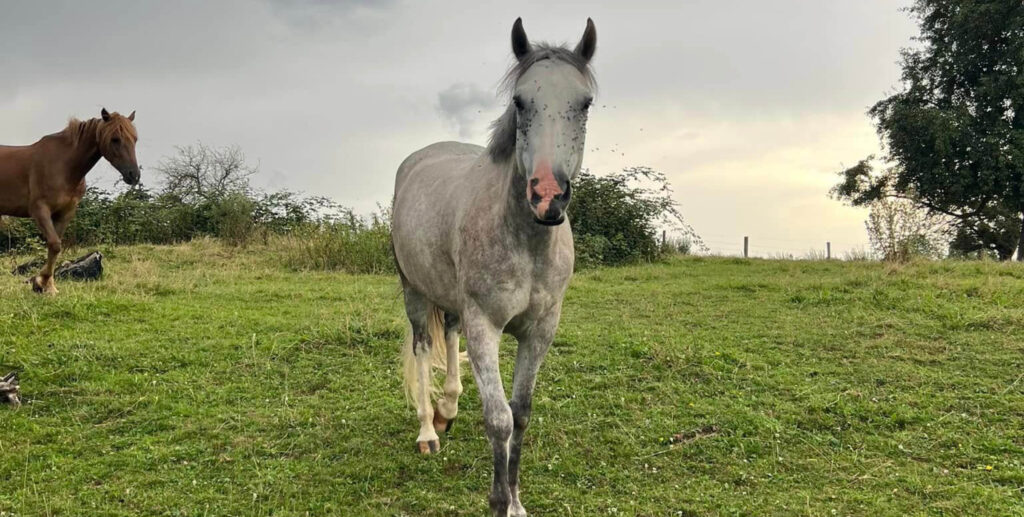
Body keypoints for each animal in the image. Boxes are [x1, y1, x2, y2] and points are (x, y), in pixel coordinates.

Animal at [0, 109, 140, 294]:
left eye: (135, 139)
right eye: (115, 139)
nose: (134, 175)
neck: (63, 165)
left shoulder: (66, 212)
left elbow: (55, 247)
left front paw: (46, 285)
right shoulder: (39, 209)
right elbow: (54, 244)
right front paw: (41, 282)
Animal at [392, 18, 597, 516]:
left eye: (584, 103)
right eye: (520, 102)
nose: (546, 195)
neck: (526, 239)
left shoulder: (540, 329)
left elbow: (520, 414)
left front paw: (517, 502)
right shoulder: (485, 324)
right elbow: (499, 418)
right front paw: (499, 501)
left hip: (449, 299)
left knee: (448, 334)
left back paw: (447, 410)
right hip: (413, 290)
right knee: (424, 347)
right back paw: (427, 430)